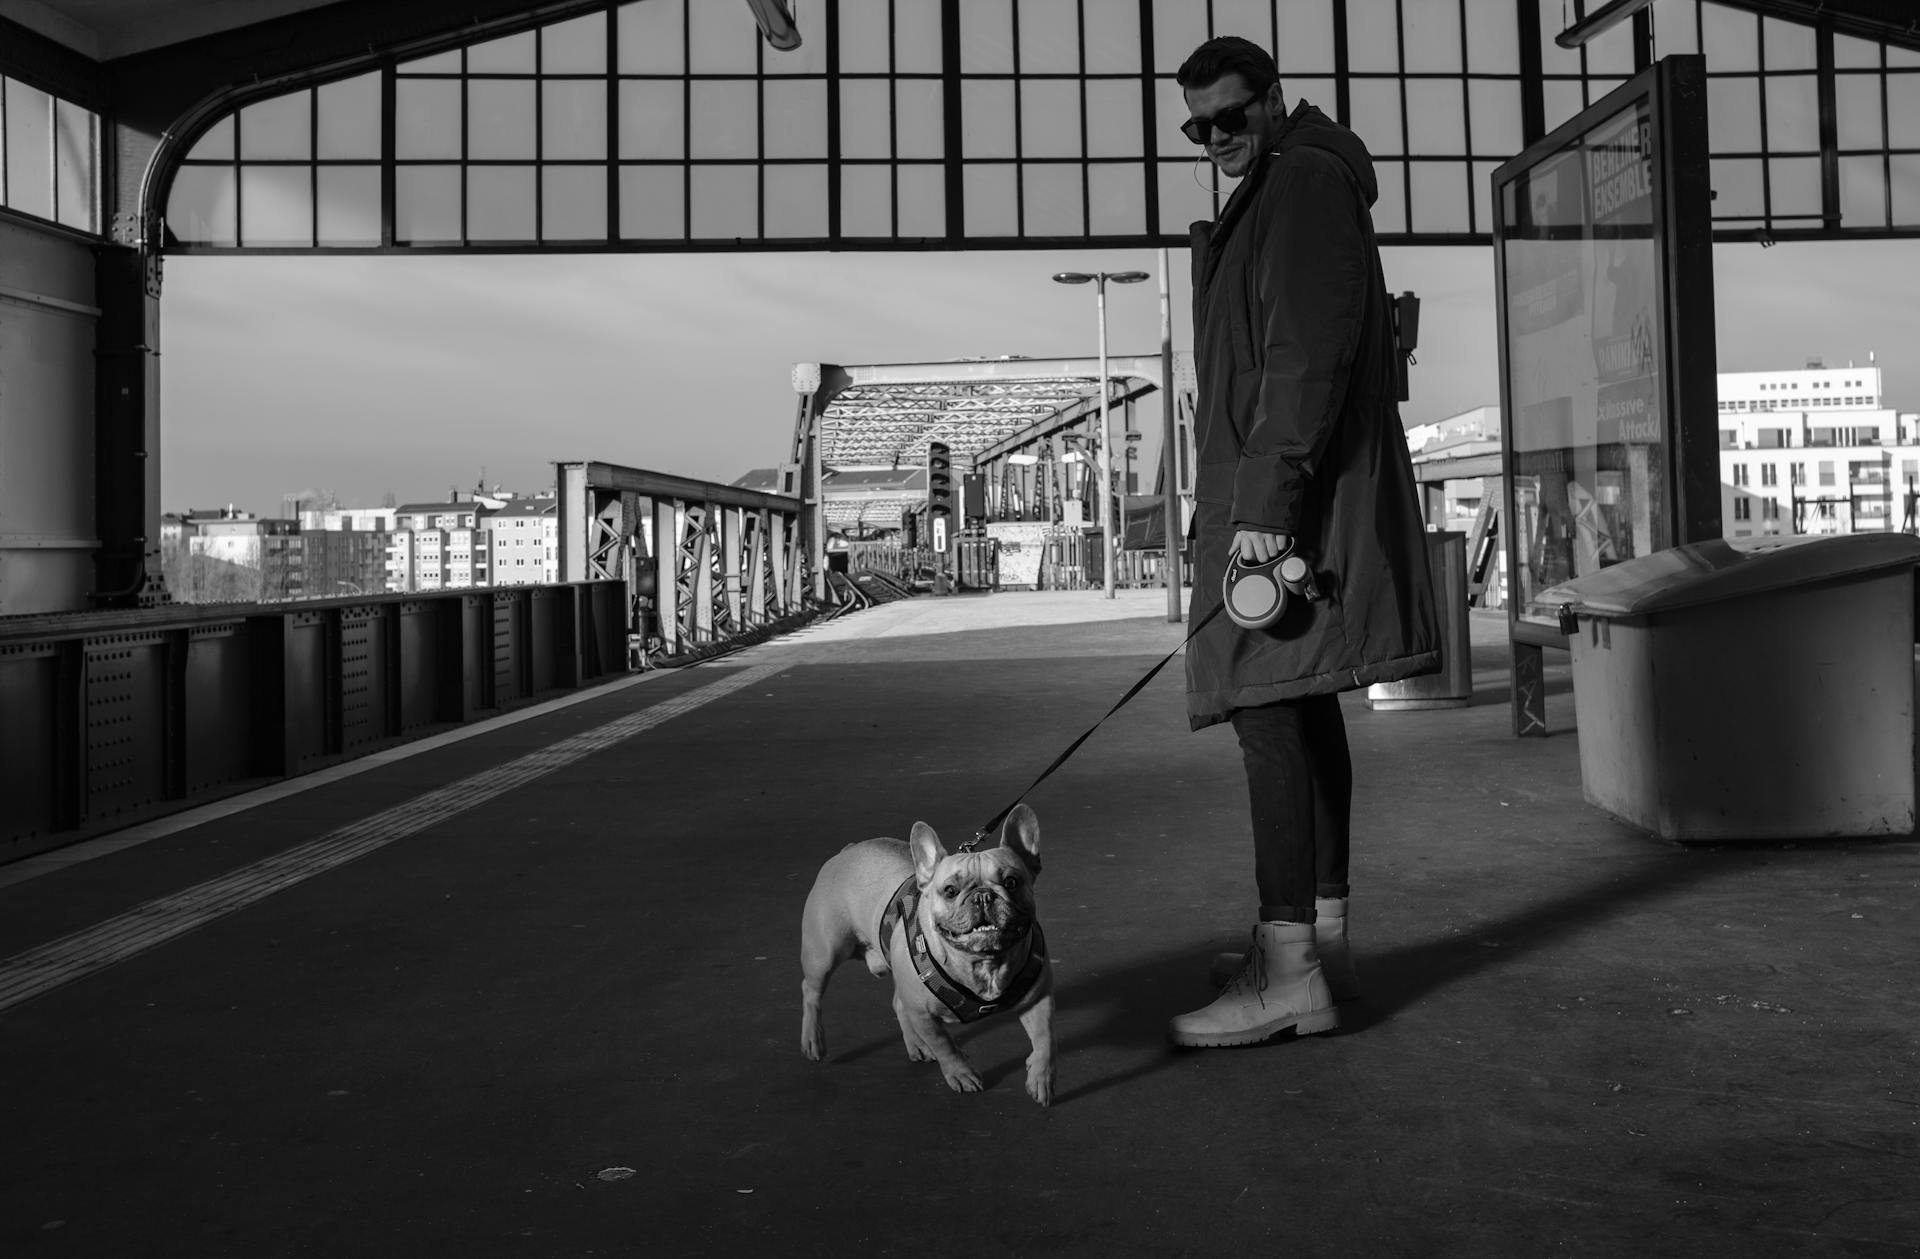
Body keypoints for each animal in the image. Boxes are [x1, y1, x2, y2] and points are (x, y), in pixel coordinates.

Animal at [802, 806, 1059, 1105]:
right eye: (950, 891)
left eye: (1011, 882)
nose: (983, 896)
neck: (983, 961)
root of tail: (847, 850)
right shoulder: (924, 1014)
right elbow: (944, 1045)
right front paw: (960, 1073)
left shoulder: (1039, 999)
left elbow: (1045, 1039)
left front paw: (1041, 1077)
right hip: (824, 954)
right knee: (811, 991)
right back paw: (813, 1040)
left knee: (898, 1003)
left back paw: (916, 1045)